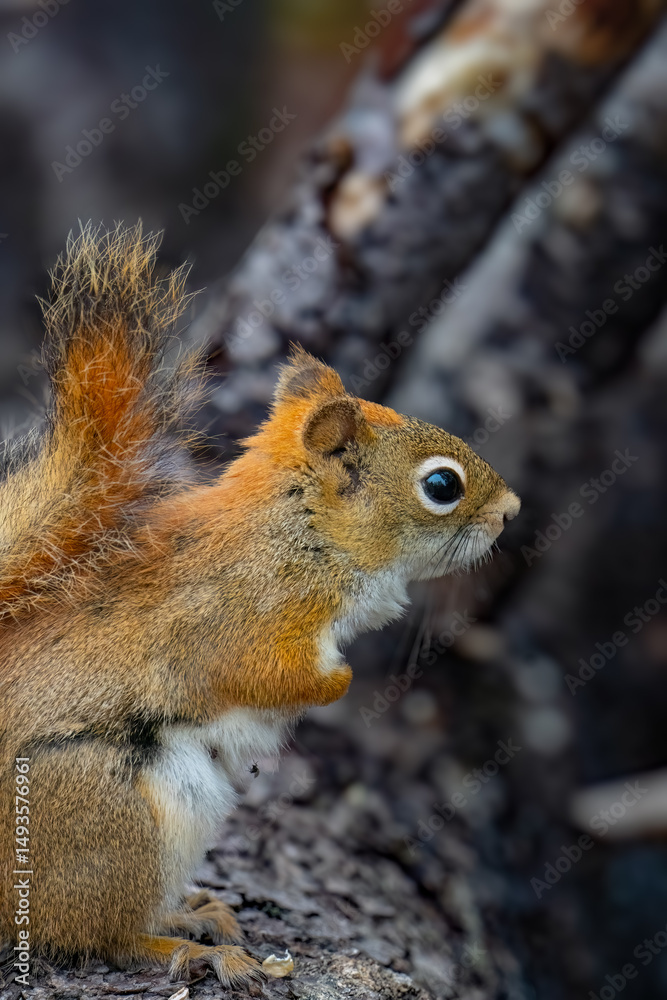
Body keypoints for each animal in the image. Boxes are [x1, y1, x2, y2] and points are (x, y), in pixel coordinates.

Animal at [0, 224, 519, 989]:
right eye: (441, 486)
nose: (512, 511)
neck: (298, 530)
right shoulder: (244, 618)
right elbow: (262, 675)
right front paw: (337, 681)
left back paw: (191, 913)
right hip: (107, 813)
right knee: (97, 935)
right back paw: (185, 948)